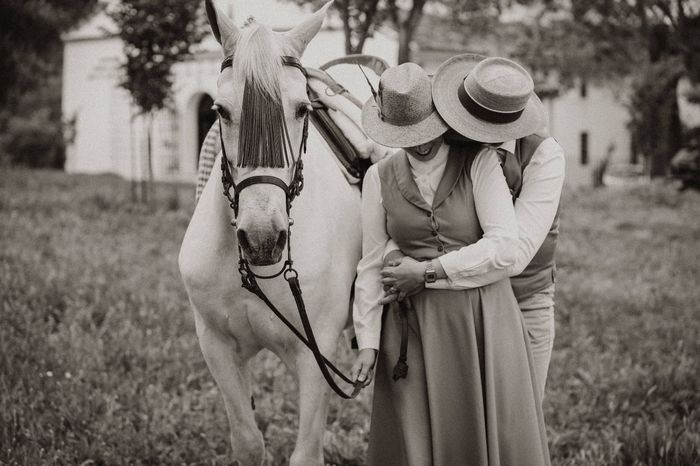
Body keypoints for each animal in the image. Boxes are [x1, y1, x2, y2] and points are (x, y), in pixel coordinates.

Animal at [178, 1, 364, 464]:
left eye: (302, 109)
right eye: (219, 111)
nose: (263, 239)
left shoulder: (316, 355)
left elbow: (305, 455)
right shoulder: (217, 347)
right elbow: (248, 442)